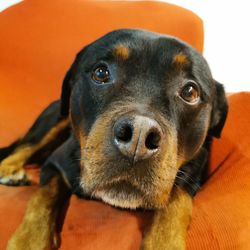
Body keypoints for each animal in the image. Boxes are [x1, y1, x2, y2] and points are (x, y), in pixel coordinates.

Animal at [0, 28, 227, 249]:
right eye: (101, 72)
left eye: (190, 91)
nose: (138, 136)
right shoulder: (55, 164)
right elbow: (42, 198)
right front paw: (28, 241)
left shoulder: (192, 172)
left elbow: (176, 200)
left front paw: (164, 241)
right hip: (54, 119)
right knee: (23, 147)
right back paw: (9, 170)